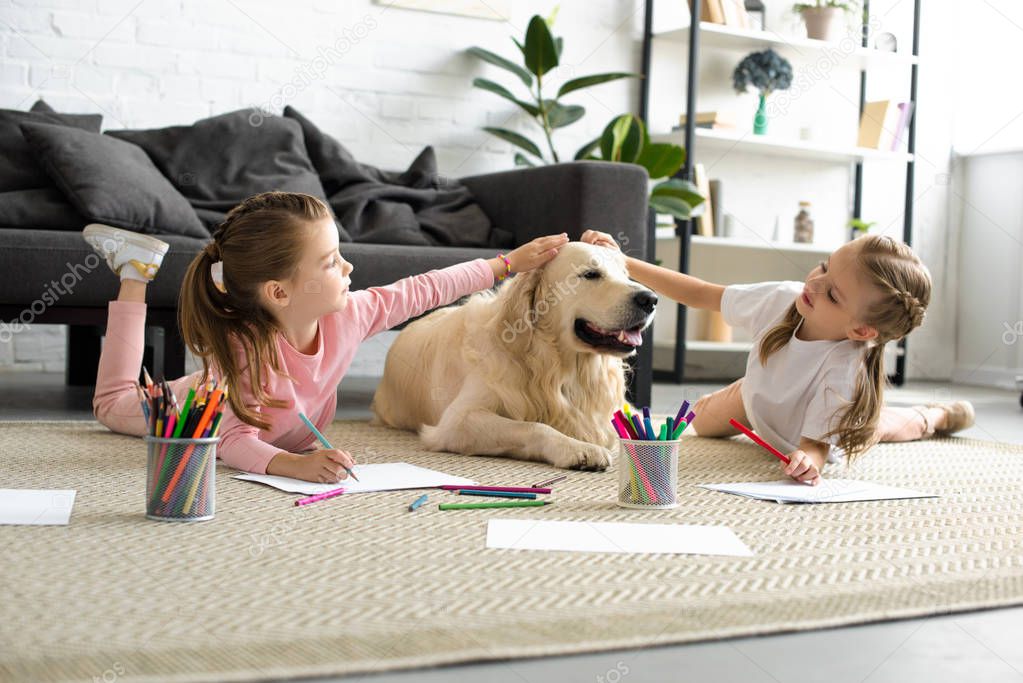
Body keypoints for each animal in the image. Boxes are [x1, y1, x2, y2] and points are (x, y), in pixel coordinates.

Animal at [372, 242, 658, 472]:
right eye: (591, 274)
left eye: (626, 275)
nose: (651, 299)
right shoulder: (457, 421)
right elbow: (533, 426)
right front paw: (577, 448)